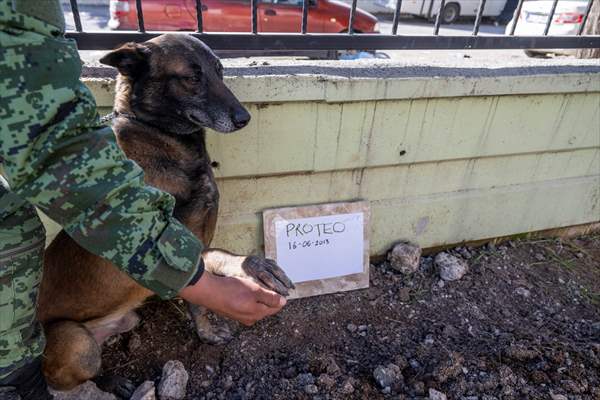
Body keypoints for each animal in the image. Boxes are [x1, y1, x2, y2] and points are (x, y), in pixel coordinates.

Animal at [35, 34, 292, 396]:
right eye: (192, 77)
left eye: (220, 71)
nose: (244, 118)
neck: (160, 137)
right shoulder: (171, 243)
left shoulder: (194, 246)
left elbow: (212, 273)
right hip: (76, 343)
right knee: (73, 376)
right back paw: (113, 382)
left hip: (126, 318)